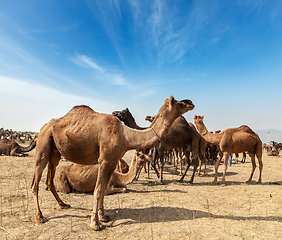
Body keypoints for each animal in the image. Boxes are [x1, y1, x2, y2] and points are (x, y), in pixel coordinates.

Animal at [30, 95, 194, 231]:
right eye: (178, 102)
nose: (191, 102)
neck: (126, 136)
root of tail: (43, 128)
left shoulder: (113, 160)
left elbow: (103, 189)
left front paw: (103, 217)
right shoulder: (104, 160)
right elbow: (98, 190)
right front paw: (95, 223)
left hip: (55, 152)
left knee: (49, 178)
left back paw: (63, 204)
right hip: (43, 145)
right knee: (35, 181)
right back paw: (40, 217)